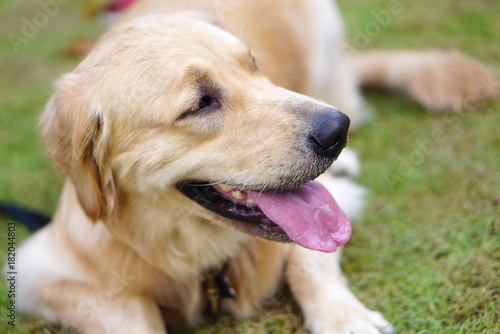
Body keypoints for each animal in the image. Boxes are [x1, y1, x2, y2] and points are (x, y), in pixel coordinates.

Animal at [11, 0, 496, 334]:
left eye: (253, 66)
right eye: (200, 103)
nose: (336, 131)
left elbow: (308, 262)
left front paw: (344, 318)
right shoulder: (40, 271)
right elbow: (129, 309)